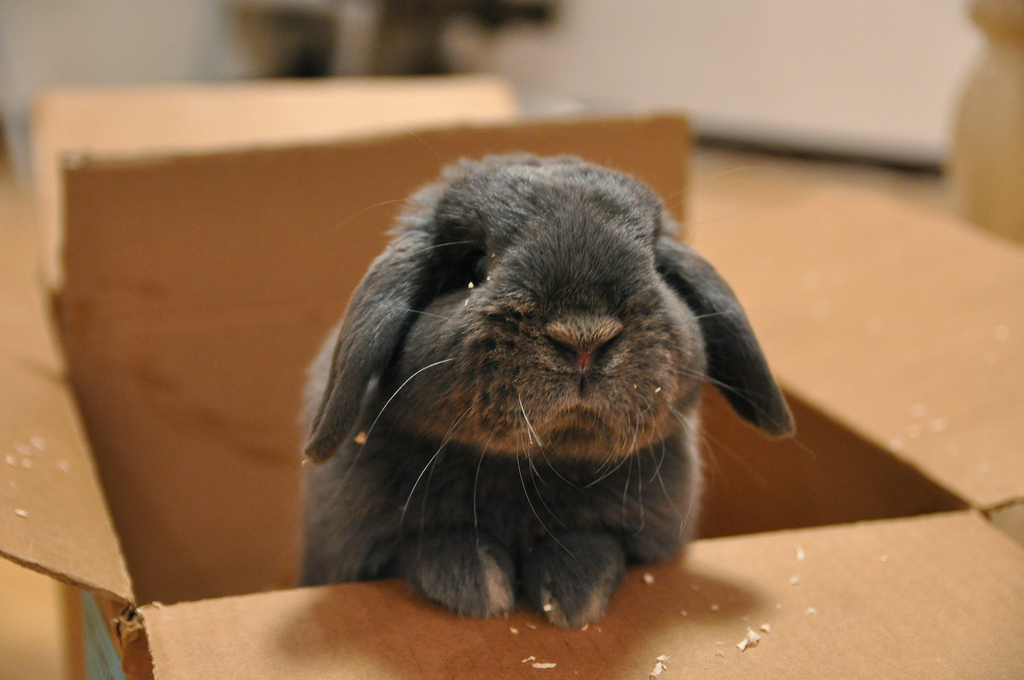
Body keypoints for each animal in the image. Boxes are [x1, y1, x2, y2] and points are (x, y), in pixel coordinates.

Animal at [299, 154, 793, 629]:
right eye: (475, 267)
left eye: (656, 266)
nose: (584, 340)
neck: (529, 470)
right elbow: (429, 543)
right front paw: (478, 587)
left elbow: (593, 544)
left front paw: (573, 598)